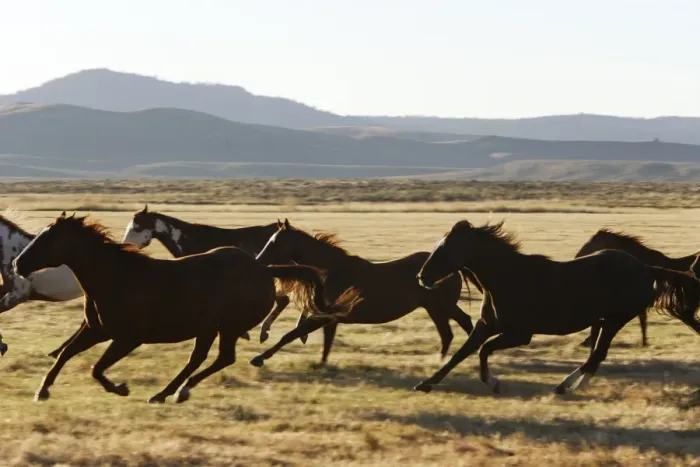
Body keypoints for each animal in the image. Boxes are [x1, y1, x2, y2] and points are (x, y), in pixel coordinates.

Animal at [13, 213, 359, 403]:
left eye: (48, 239)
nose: (17, 264)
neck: (116, 277)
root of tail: (264, 269)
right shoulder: (96, 330)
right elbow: (65, 354)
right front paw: (42, 391)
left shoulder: (127, 338)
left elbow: (96, 368)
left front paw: (121, 388)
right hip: (208, 328)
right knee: (200, 359)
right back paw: (166, 393)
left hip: (226, 327)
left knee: (222, 358)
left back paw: (178, 392)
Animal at [249, 218, 474, 367]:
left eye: (274, 242)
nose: (257, 262)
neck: (332, 270)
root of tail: (456, 269)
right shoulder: (330, 318)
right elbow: (326, 342)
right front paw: (322, 363)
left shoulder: (325, 315)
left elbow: (292, 334)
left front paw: (259, 358)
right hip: (439, 308)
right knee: (456, 328)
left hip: (439, 307)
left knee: (453, 330)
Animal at [413, 219, 700, 395]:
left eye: (446, 249)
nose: (421, 277)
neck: (507, 278)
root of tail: (647, 268)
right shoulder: (486, 325)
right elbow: (462, 353)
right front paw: (425, 384)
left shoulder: (520, 334)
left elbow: (484, 350)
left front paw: (493, 383)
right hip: (606, 321)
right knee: (596, 355)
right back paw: (571, 386)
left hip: (615, 319)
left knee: (597, 355)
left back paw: (566, 387)